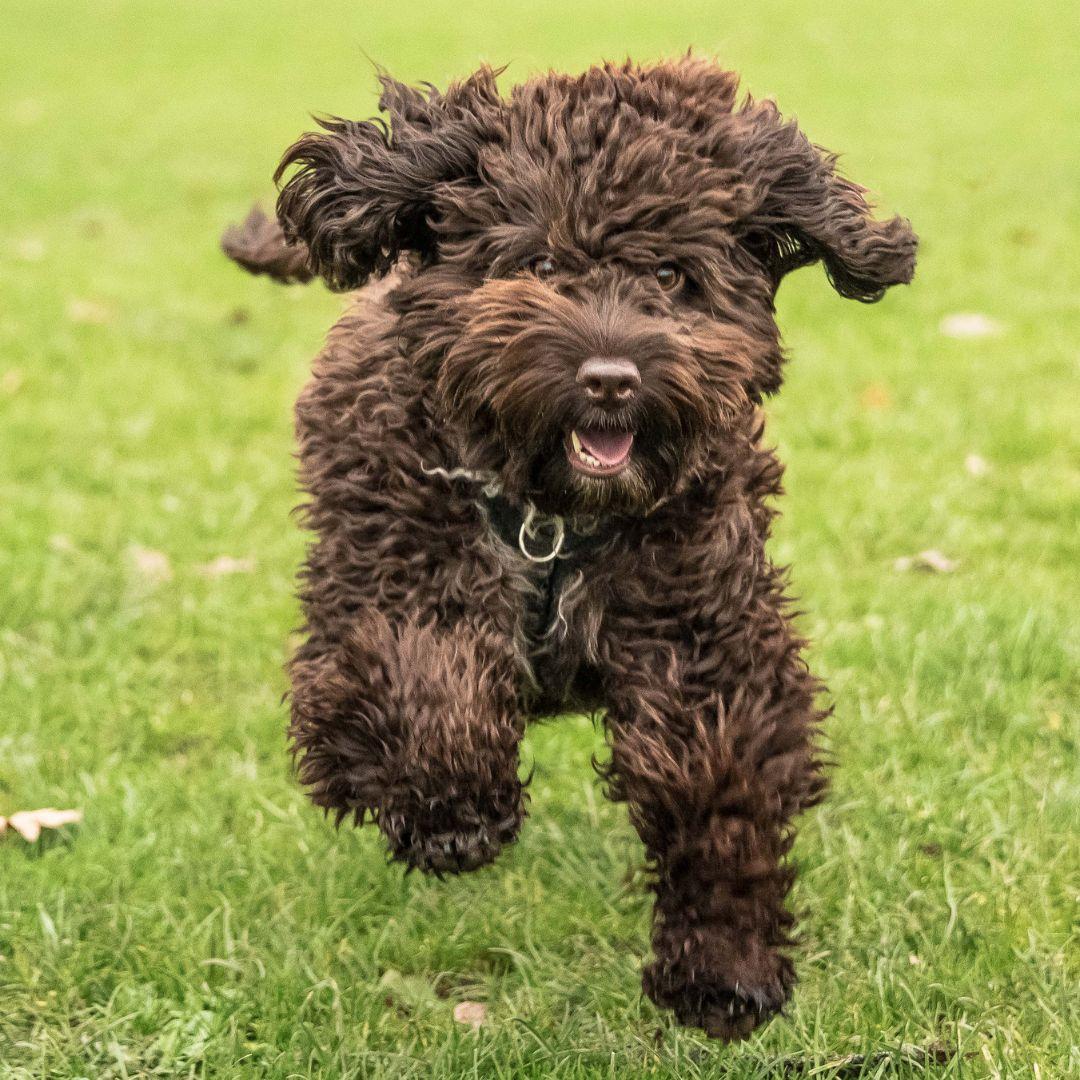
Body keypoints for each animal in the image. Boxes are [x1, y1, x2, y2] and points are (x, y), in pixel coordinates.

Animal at [223, 56, 915, 1036]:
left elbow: (718, 788)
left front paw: (724, 966)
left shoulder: (702, 627)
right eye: (542, 263)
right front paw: (451, 813)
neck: (552, 518)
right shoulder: (390, 574)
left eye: (670, 271)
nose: (611, 379)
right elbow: (423, 673)